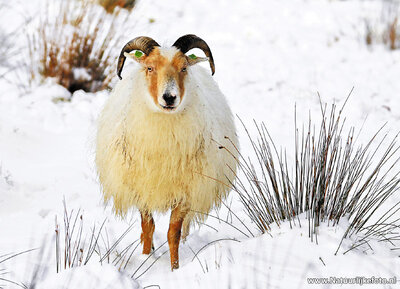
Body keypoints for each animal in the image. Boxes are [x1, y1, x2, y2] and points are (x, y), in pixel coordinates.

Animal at [95, 35, 239, 268]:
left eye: (183, 68)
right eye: (150, 68)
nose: (169, 97)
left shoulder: (186, 192)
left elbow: (174, 233)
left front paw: (175, 267)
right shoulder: (141, 189)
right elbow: (148, 228)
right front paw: (146, 257)